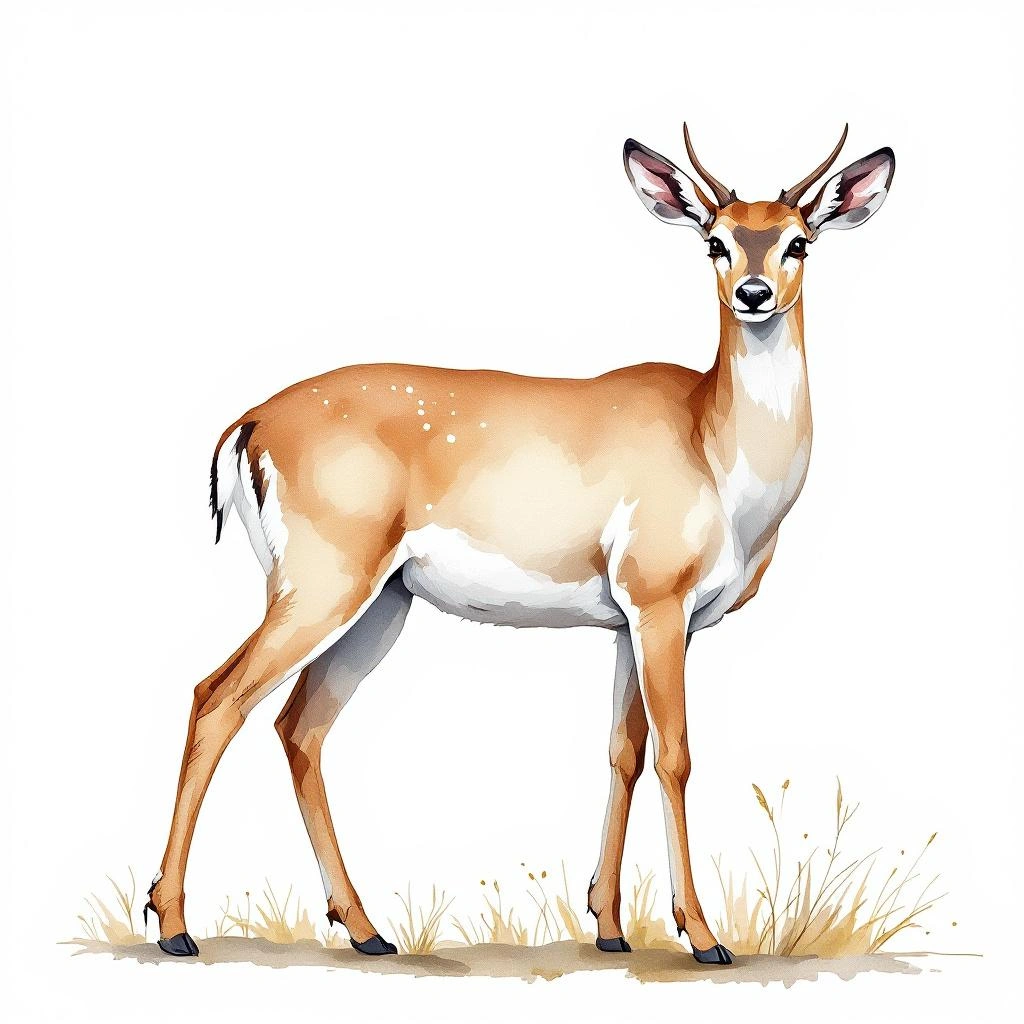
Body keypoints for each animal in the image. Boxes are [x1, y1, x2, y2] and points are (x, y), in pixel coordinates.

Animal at [143, 123, 895, 965]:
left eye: (799, 240)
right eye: (716, 241)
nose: (755, 292)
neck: (716, 447)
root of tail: (249, 423)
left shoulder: (635, 622)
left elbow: (624, 751)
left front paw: (609, 927)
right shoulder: (659, 602)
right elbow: (676, 753)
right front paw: (703, 937)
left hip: (381, 603)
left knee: (299, 726)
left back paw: (368, 931)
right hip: (321, 584)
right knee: (217, 698)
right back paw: (173, 927)